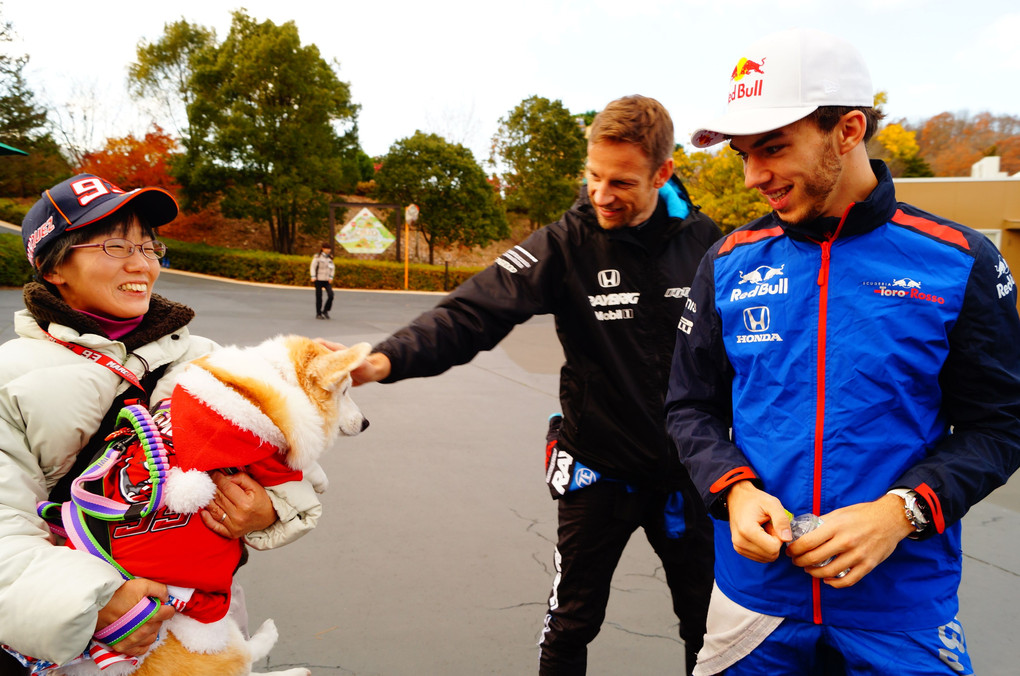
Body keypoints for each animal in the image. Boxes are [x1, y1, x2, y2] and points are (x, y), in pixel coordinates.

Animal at [48, 336, 371, 672]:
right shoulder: (267, 460)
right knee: (243, 660)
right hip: (207, 628)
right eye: (344, 391)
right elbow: (298, 470)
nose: (366, 424)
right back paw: (277, 644)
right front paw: (318, 479)